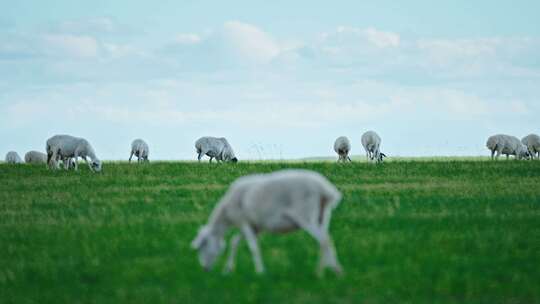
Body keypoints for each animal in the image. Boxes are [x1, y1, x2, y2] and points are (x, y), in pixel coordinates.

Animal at [190, 169, 342, 276]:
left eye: (202, 247)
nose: (205, 269)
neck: (226, 214)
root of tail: (324, 189)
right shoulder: (255, 226)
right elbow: (234, 242)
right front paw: (227, 270)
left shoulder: (244, 222)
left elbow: (252, 247)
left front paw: (260, 272)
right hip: (322, 216)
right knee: (325, 240)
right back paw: (328, 271)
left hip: (306, 215)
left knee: (324, 241)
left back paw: (324, 273)